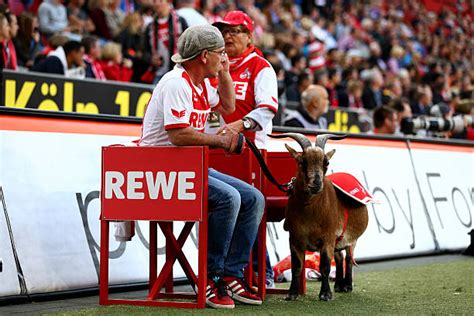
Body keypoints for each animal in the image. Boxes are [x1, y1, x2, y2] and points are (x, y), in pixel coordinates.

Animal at [270, 133, 370, 302]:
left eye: (326, 162)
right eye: (302, 161)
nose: (316, 184)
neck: (310, 213)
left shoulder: (327, 238)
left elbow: (325, 266)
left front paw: (325, 294)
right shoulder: (295, 238)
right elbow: (297, 266)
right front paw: (292, 293)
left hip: (351, 239)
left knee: (348, 258)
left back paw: (347, 286)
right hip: (337, 240)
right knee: (339, 257)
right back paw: (338, 285)